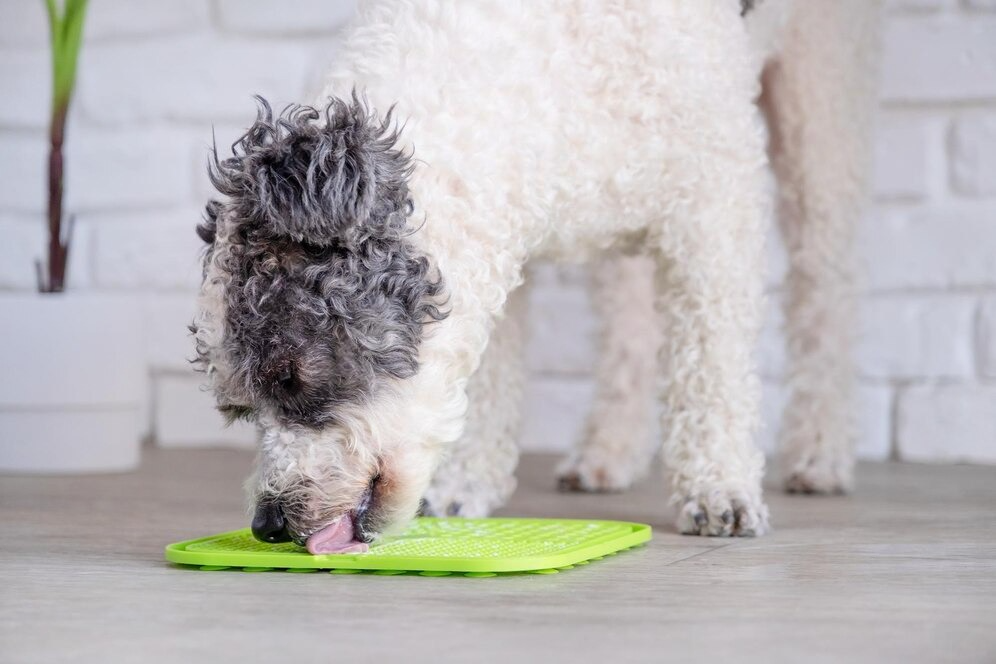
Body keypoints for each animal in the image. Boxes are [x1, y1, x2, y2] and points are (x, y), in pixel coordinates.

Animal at [189, 0, 880, 548]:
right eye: (240, 410)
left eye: (290, 377)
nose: (269, 524)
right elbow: (491, 375)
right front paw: (466, 483)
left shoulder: (715, 201)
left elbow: (713, 362)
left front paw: (720, 489)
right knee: (632, 317)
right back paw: (607, 453)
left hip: (818, 97)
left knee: (827, 283)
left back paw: (820, 454)